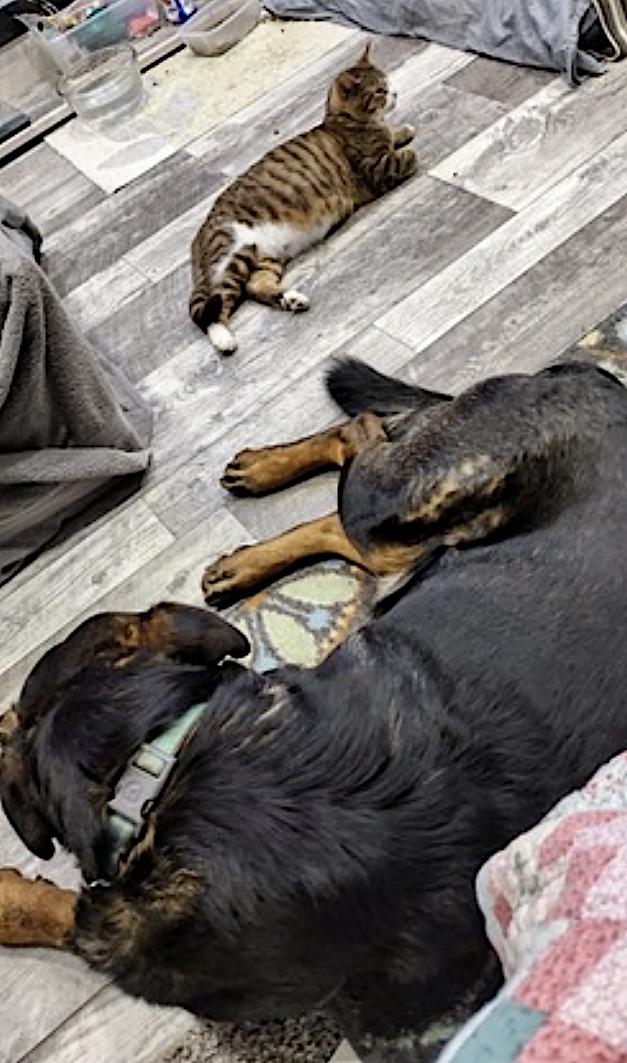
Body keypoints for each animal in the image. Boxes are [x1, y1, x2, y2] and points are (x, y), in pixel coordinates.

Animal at [3, 358, 627, 1044]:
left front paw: (10, 896)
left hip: (401, 508)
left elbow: (57, 907)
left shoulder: (125, 934)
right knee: (353, 465)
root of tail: (591, 375)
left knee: (360, 442)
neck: (154, 762)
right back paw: (254, 513)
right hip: (409, 525)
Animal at [189, 44, 417, 354]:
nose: (395, 93)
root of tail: (198, 239)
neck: (341, 121)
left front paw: (403, 130)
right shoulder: (377, 170)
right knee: (214, 306)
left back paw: (290, 299)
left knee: (254, 286)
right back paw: (224, 338)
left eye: (388, 82)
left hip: (263, 256)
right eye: (380, 90)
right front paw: (406, 143)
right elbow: (405, 156)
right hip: (232, 253)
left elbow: (394, 135)